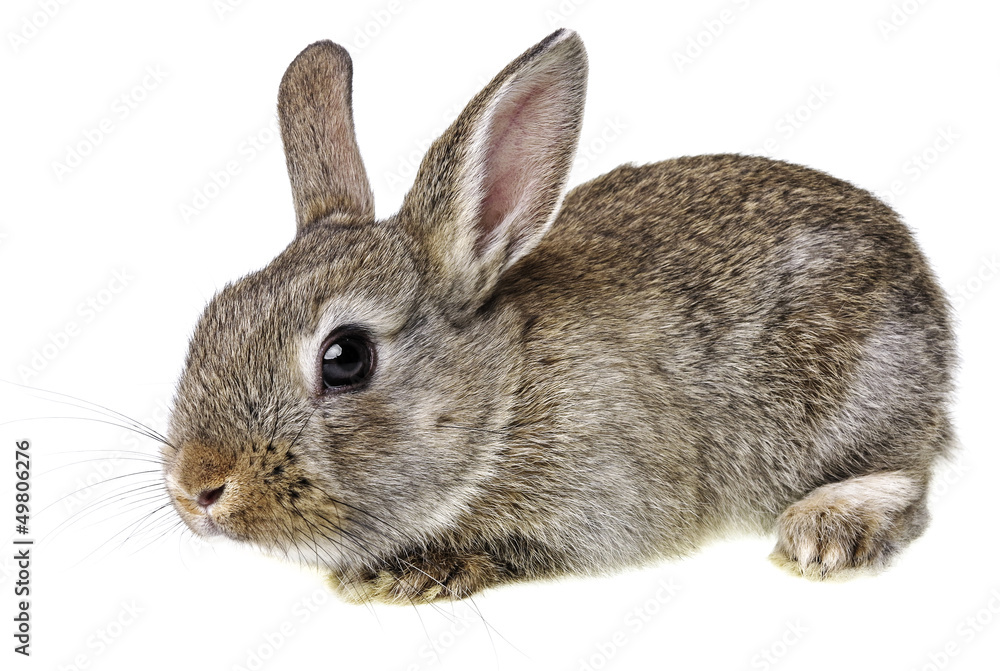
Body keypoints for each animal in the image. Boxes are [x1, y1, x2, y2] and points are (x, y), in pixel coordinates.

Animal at [163, 28, 956, 605]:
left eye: (345, 357)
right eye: (213, 316)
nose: (196, 488)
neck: (503, 395)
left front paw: (414, 574)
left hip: (864, 392)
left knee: (908, 475)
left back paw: (829, 527)